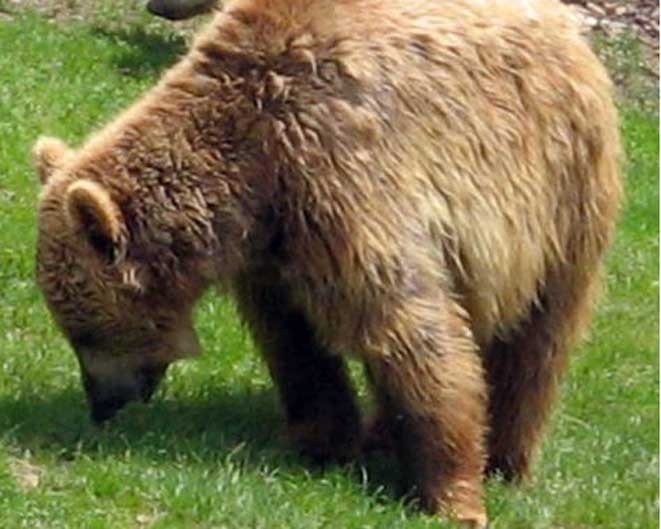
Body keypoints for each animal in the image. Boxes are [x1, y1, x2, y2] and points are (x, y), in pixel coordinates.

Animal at [33, 2, 620, 524]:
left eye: (83, 332)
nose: (101, 404)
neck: (251, 169)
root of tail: (567, 28)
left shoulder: (344, 174)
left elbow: (409, 328)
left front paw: (451, 496)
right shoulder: (279, 241)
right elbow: (293, 340)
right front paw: (320, 439)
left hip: (558, 196)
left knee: (537, 338)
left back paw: (505, 458)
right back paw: (385, 432)